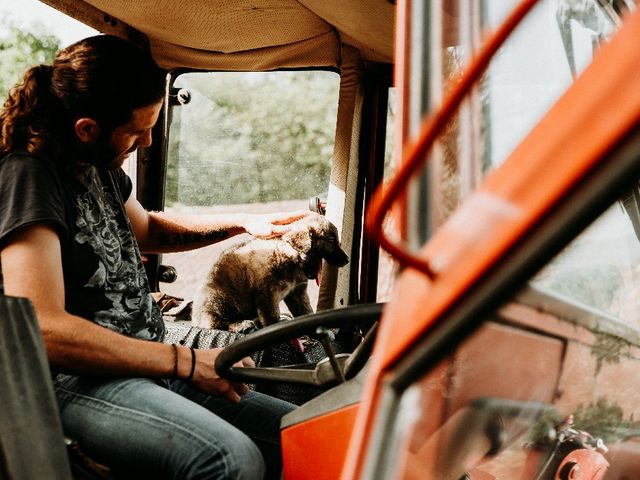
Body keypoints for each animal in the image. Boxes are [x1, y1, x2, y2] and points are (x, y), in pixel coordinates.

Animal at [191, 213, 348, 330]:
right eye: (331, 240)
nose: (347, 260)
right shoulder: (266, 294)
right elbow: (272, 317)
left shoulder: (297, 292)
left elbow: (305, 311)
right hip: (218, 301)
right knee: (218, 323)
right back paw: (242, 324)